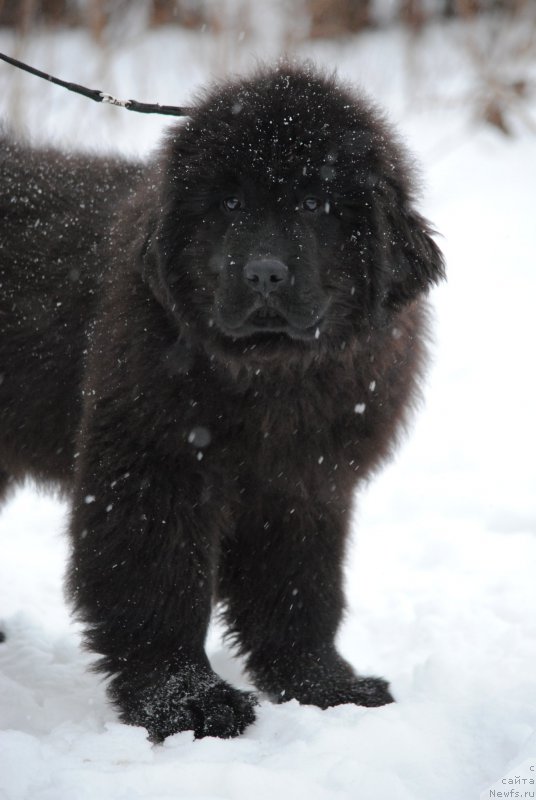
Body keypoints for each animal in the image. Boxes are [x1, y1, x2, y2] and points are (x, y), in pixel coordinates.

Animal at [0, 65, 444, 740]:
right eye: (230, 204)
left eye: (314, 204)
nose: (264, 274)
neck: (270, 375)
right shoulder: (154, 466)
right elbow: (158, 585)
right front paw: (187, 700)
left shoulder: (305, 482)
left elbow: (300, 587)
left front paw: (323, 684)